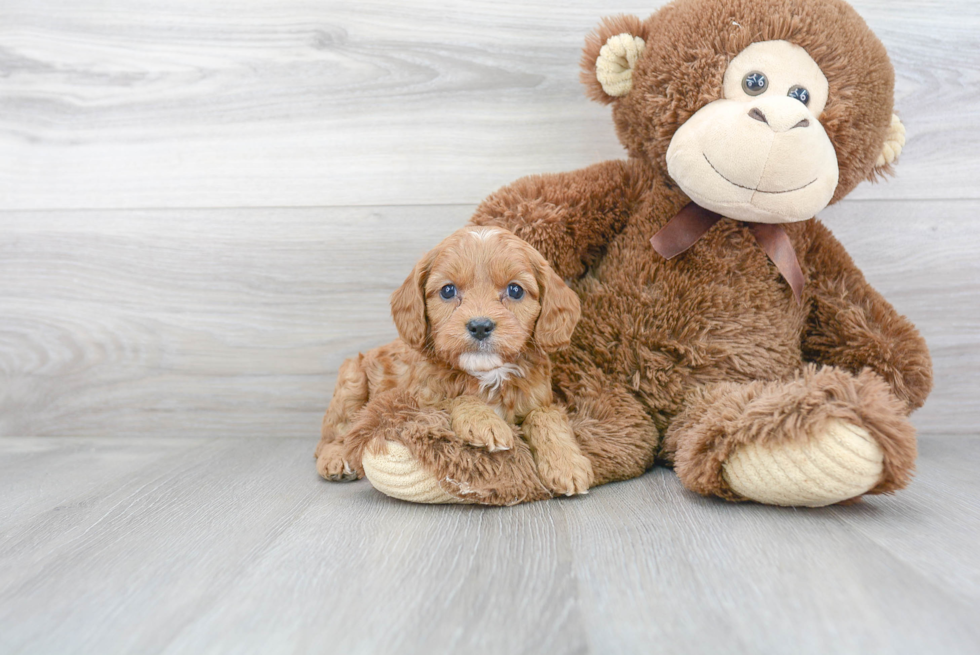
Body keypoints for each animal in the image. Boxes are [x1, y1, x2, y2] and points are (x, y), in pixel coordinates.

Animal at [316, 226, 588, 498]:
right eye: (448, 291)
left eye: (515, 290)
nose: (480, 326)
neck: (487, 373)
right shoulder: (416, 405)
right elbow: (453, 399)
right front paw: (485, 421)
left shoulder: (540, 398)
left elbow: (546, 415)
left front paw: (567, 464)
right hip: (351, 382)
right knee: (333, 434)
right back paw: (336, 459)